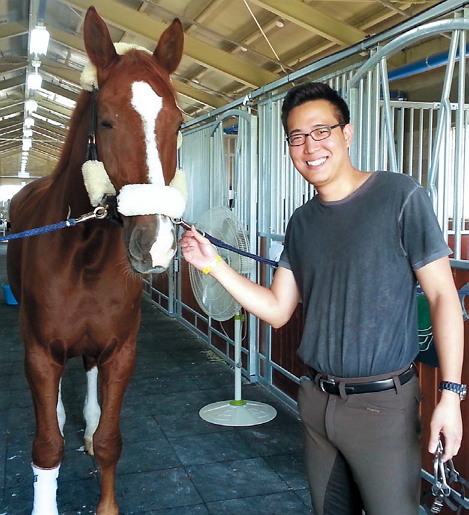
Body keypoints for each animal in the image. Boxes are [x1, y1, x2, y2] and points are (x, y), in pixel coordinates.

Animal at [6, 8, 185, 515]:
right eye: (104, 121)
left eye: (178, 124)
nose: (155, 245)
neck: (83, 256)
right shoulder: (39, 353)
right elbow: (46, 446)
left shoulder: (122, 351)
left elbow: (109, 441)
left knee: (86, 370)